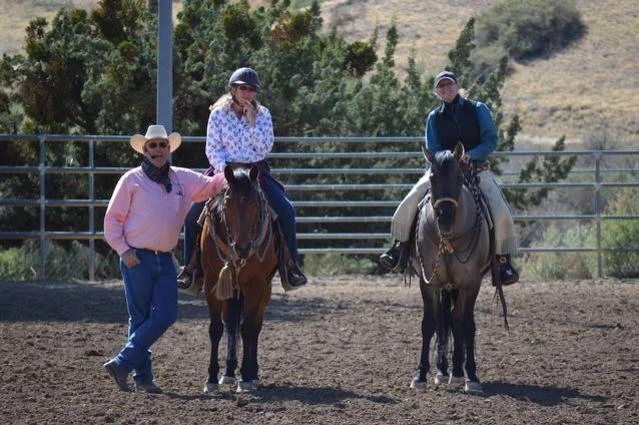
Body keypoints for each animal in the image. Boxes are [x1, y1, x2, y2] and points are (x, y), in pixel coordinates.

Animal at [200, 164, 278, 392]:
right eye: (227, 203)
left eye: (255, 203)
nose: (242, 248)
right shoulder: (212, 283)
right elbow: (216, 328)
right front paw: (211, 378)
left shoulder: (255, 284)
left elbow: (248, 328)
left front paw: (245, 378)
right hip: (232, 290)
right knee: (231, 324)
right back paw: (228, 373)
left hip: (264, 289)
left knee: (255, 327)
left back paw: (253, 373)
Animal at [408, 143, 508, 394]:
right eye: (432, 178)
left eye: (458, 178)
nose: (444, 221)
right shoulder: (429, 282)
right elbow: (429, 324)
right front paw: (420, 375)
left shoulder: (470, 283)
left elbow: (467, 325)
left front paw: (471, 375)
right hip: (445, 285)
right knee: (444, 320)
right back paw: (443, 371)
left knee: (456, 320)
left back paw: (457, 372)